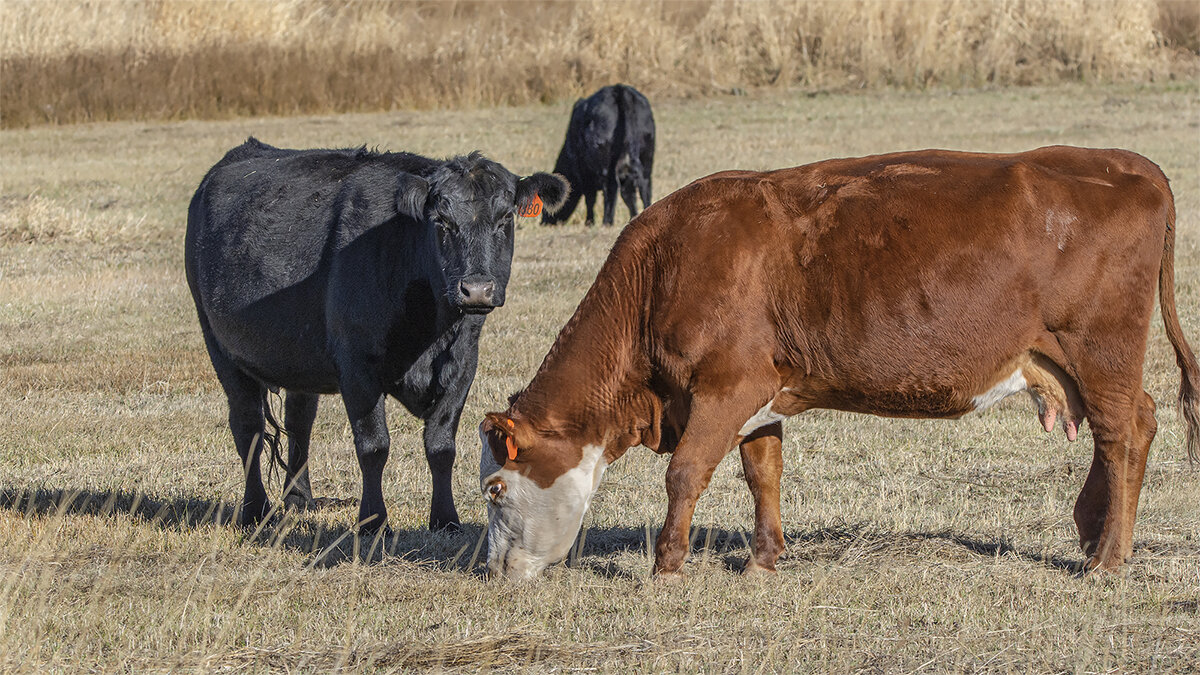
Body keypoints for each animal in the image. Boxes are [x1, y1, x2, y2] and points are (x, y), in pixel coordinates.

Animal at [183, 138, 566, 530]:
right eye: (441, 221)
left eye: (505, 218)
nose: (476, 290)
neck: (429, 331)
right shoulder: (357, 368)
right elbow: (373, 446)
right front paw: (373, 520)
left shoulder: (462, 363)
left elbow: (441, 446)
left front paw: (446, 518)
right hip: (219, 345)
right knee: (249, 427)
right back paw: (254, 510)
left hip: (297, 358)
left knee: (299, 420)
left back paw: (300, 499)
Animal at [477, 145, 1200, 578]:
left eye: (493, 489)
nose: (491, 568)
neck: (664, 267)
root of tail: (1123, 161)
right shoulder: (759, 392)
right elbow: (762, 473)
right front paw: (763, 561)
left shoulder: (723, 387)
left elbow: (684, 474)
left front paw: (665, 568)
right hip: (1069, 360)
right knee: (1121, 431)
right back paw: (1092, 532)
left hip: (1100, 349)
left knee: (1126, 431)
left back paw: (1107, 558)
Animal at [544, 83, 657, 225]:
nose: (544, 221)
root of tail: (619, 88)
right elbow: (629, 196)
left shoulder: (584, 172)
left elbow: (590, 198)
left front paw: (589, 222)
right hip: (646, 157)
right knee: (644, 184)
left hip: (606, 165)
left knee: (611, 187)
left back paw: (607, 222)